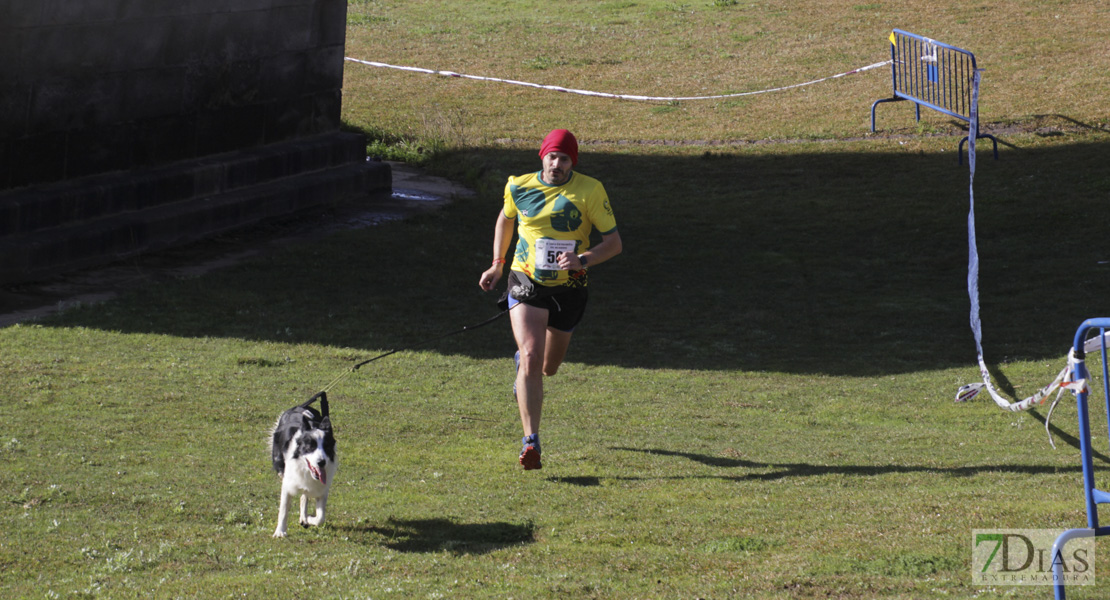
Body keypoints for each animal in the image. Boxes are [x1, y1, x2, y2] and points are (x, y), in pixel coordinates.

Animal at [270, 390, 335, 536]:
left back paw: (304, 518)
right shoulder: (287, 482)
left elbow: (320, 517)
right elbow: (283, 510)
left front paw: (310, 519)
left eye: (327, 447)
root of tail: (299, 407)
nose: (321, 462)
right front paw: (280, 532)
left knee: (304, 496)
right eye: (310, 447)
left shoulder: (322, 488)